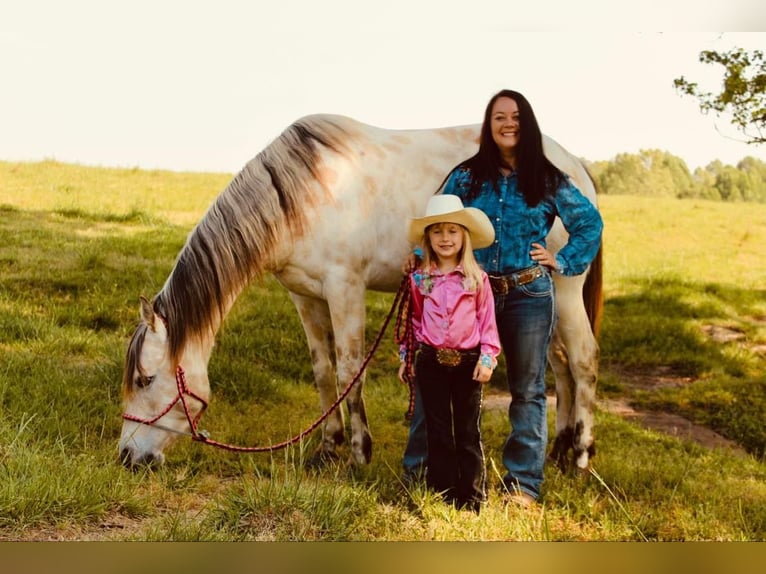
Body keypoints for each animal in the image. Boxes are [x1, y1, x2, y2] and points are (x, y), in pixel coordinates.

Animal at [120, 112, 604, 472]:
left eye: (145, 379)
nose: (126, 457)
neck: (303, 193)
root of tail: (573, 163)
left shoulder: (345, 289)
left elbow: (351, 371)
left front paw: (358, 454)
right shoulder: (305, 296)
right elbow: (323, 371)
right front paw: (326, 448)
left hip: (563, 290)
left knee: (583, 360)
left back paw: (580, 456)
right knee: (560, 367)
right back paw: (558, 450)